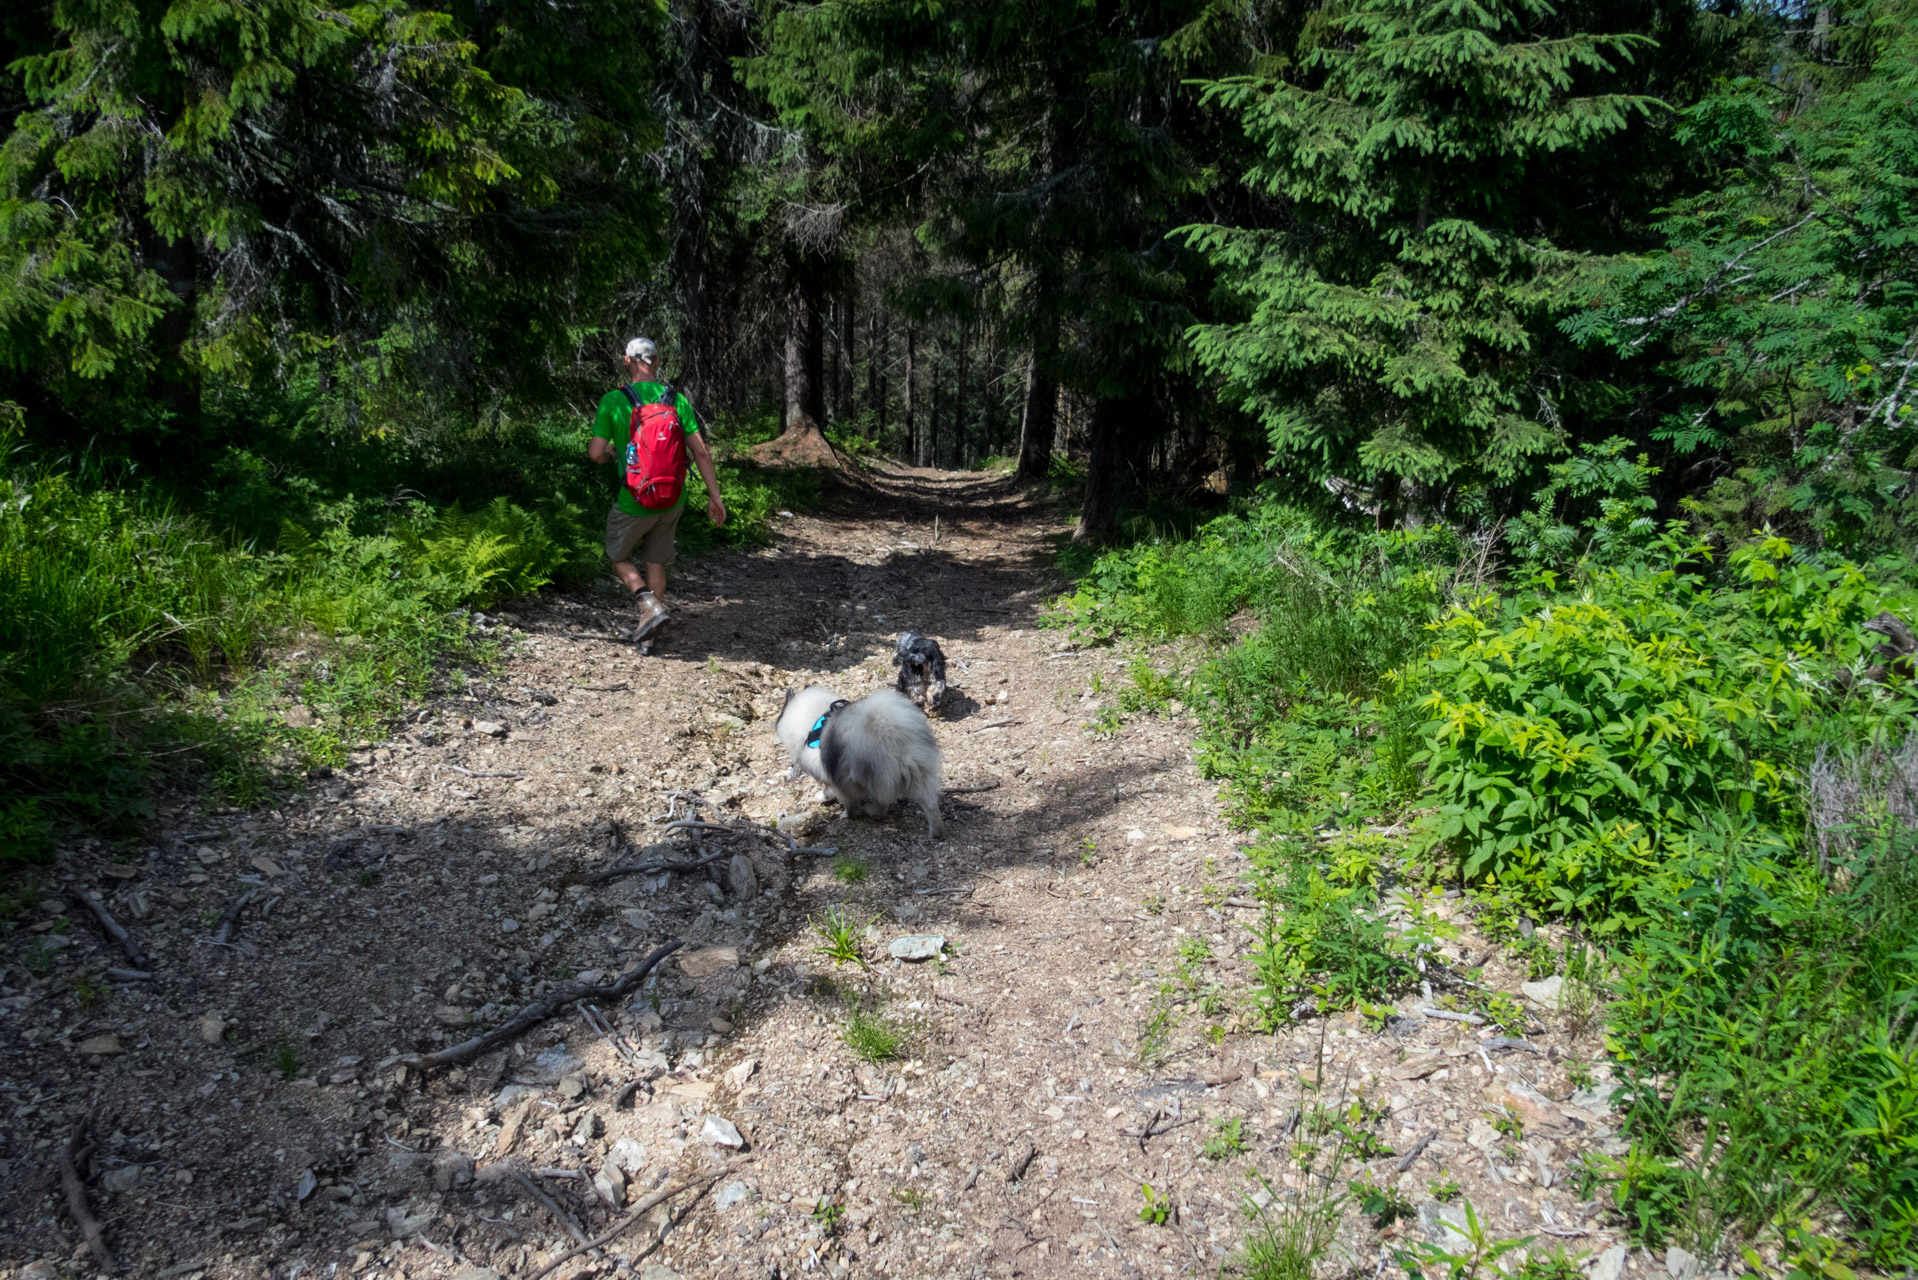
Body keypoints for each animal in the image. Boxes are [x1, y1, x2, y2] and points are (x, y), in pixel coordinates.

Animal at [778, 679, 943, 840]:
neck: (815, 721)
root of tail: (893, 734)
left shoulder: (837, 779)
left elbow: (844, 799)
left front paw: (845, 813)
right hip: (919, 772)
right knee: (931, 804)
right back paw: (936, 832)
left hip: (874, 777)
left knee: (882, 804)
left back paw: (870, 811)